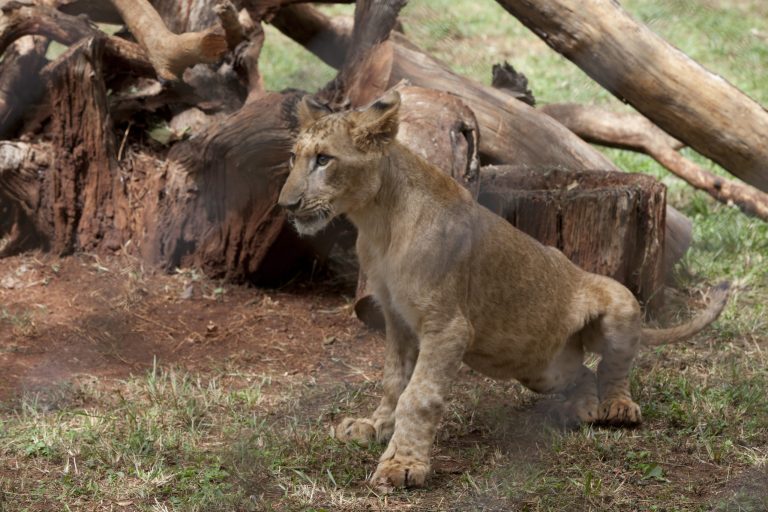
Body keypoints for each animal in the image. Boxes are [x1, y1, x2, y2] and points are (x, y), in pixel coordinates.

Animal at [277, 90, 729, 490]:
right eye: (294, 157)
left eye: (324, 159)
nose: (286, 205)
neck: (377, 222)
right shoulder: (396, 318)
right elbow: (393, 381)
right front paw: (373, 426)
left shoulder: (447, 326)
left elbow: (419, 396)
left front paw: (402, 466)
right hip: (540, 368)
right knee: (581, 373)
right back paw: (580, 408)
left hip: (618, 301)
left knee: (612, 367)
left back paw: (616, 407)